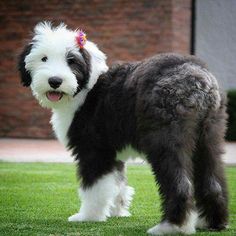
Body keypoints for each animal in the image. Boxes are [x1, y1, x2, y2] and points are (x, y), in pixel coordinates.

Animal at [17, 21, 228, 234]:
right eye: (44, 58)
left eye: (71, 60)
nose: (55, 81)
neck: (85, 89)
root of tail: (198, 80)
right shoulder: (113, 153)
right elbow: (116, 183)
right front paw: (116, 211)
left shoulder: (94, 150)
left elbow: (94, 187)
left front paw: (88, 216)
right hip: (209, 135)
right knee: (213, 182)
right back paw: (211, 223)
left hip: (166, 139)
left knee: (181, 184)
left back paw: (171, 227)